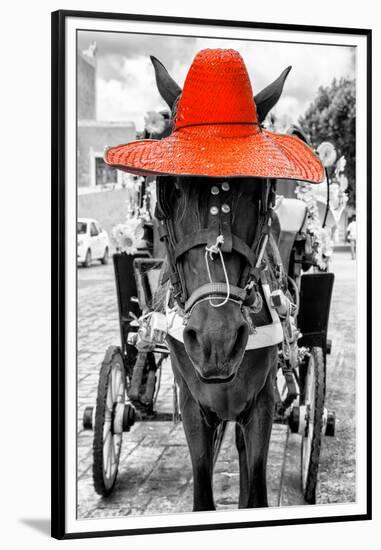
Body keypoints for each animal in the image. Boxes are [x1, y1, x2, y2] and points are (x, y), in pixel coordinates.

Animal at [149, 56, 290, 512]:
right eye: (168, 188)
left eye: (260, 190)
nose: (217, 340)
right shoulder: (193, 405)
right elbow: (202, 492)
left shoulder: (262, 403)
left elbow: (256, 491)